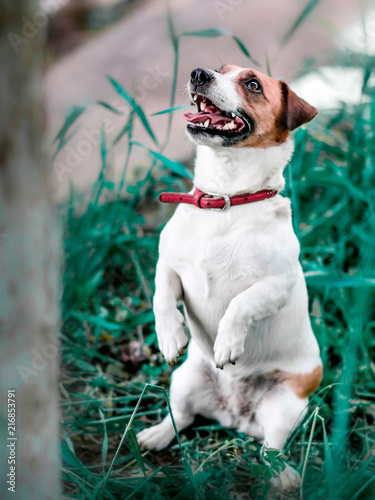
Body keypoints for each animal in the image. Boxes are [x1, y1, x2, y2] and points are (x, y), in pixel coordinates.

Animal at [137, 64, 324, 490]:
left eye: (252, 83)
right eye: (220, 70)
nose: (198, 73)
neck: (224, 200)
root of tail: (235, 416)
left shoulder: (276, 285)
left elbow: (240, 304)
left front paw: (227, 343)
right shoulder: (168, 265)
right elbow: (160, 296)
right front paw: (169, 336)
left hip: (284, 407)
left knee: (270, 449)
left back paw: (283, 478)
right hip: (185, 380)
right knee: (181, 417)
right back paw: (155, 435)